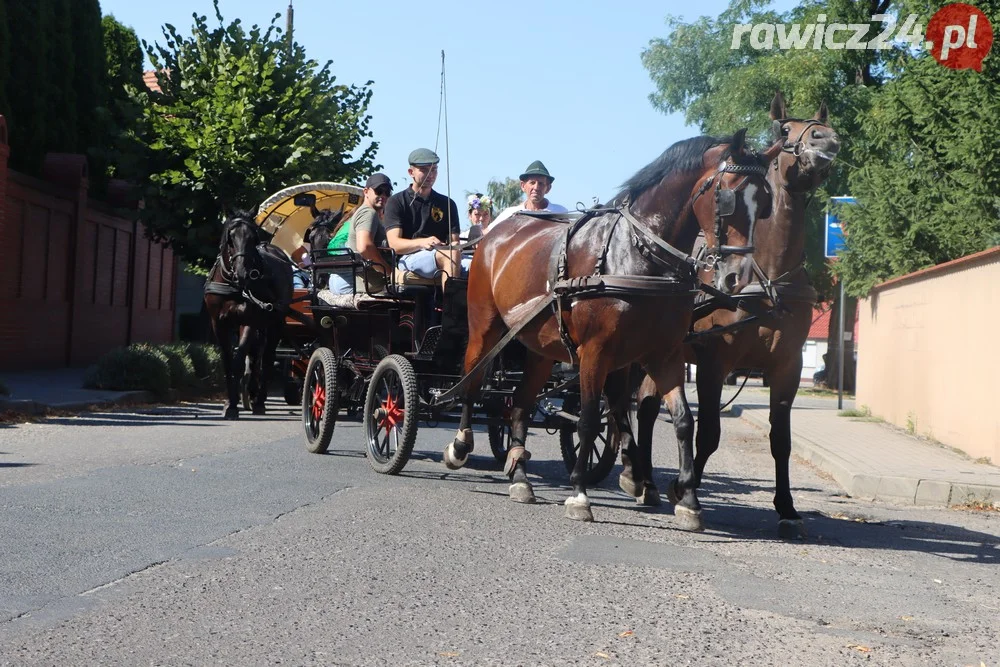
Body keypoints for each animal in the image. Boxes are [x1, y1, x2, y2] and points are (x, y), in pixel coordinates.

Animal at [203, 214, 292, 420]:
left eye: (253, 238)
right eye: (231, 238)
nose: (243, 273)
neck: (234, 286)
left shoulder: (249, 320)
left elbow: (238, 360)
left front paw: (233, 405)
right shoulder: (218, 323)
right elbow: (228, 362)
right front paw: (230, 402)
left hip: (276, 322)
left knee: (266, 358)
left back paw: (259, 400)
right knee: (254, 355)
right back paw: (251, 393)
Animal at [444, 130, 780, 524]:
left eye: (765, 204)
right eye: (727, 197)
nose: (737, 277)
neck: (638, 256)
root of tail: (495, 233)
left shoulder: (663, 355)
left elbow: (683, 421)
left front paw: (687, 499)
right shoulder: (596, 352)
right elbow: (589, 419)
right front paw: (579, 493)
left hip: (540, 348)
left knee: (519, 405)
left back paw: (521, 477)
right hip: (485, 327)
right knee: (471, 382)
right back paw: (461, 444)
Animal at [624, 92, 844, 536]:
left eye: (821, 125)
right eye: (785, 129)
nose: (827, 139)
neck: (768, 278)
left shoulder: (788, 366)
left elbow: (781, 440)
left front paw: (786, 507)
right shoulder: (714, 361)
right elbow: (709, 432)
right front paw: (684, 490)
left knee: (647, 406)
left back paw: (646, 481)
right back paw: (636, 474)